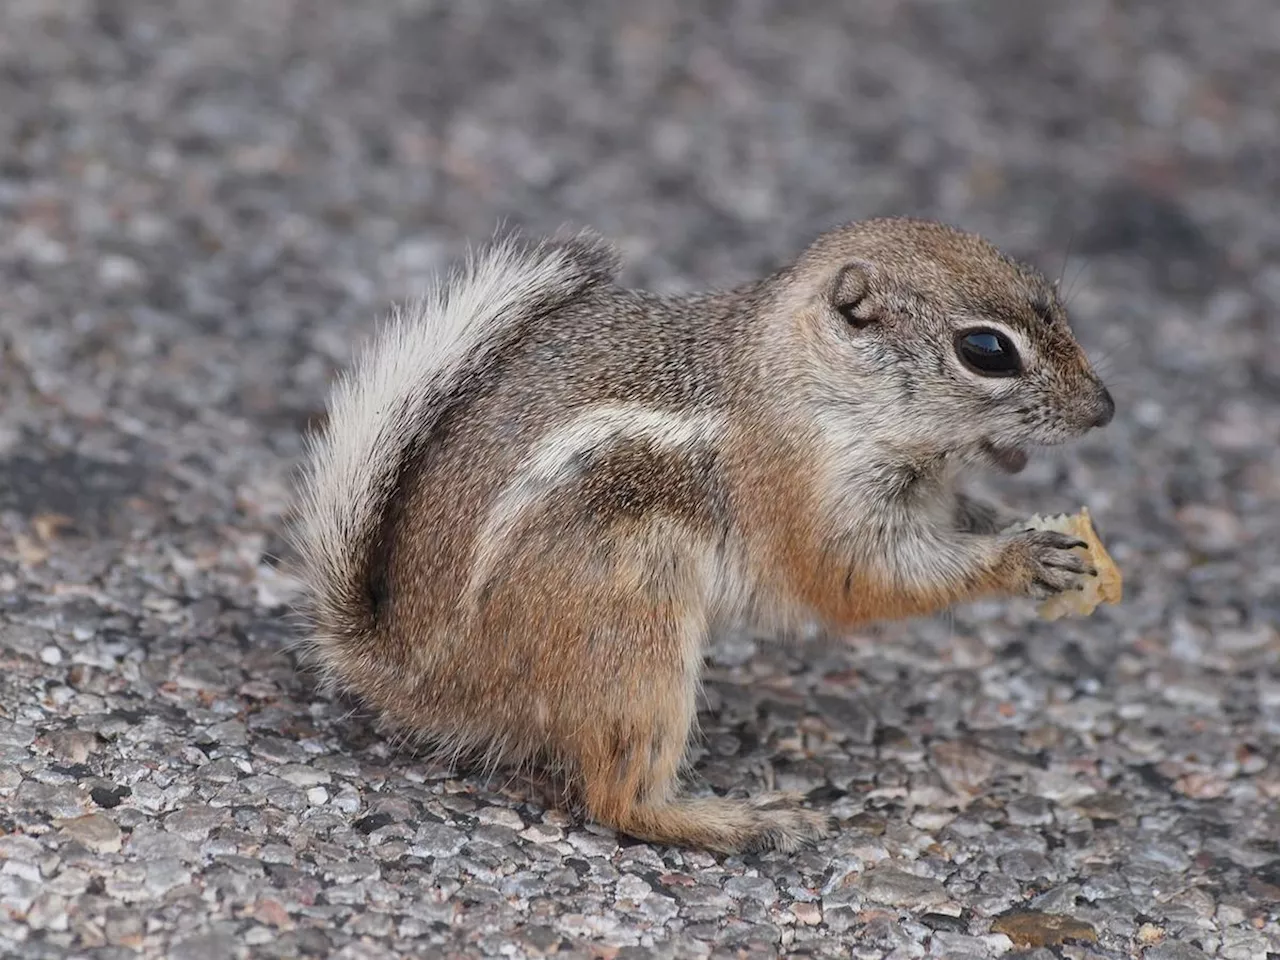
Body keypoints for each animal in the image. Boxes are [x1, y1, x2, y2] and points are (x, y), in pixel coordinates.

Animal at [288, 220, 1111, 855]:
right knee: (618, 800)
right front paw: (1022, 559)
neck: (808, 379)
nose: (1104, 410)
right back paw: (739, 821)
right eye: (986, 350)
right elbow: (858, 580)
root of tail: (419, 673)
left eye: (1050, 296)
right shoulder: (805, 491)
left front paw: (1037, 538)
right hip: (632, 633)